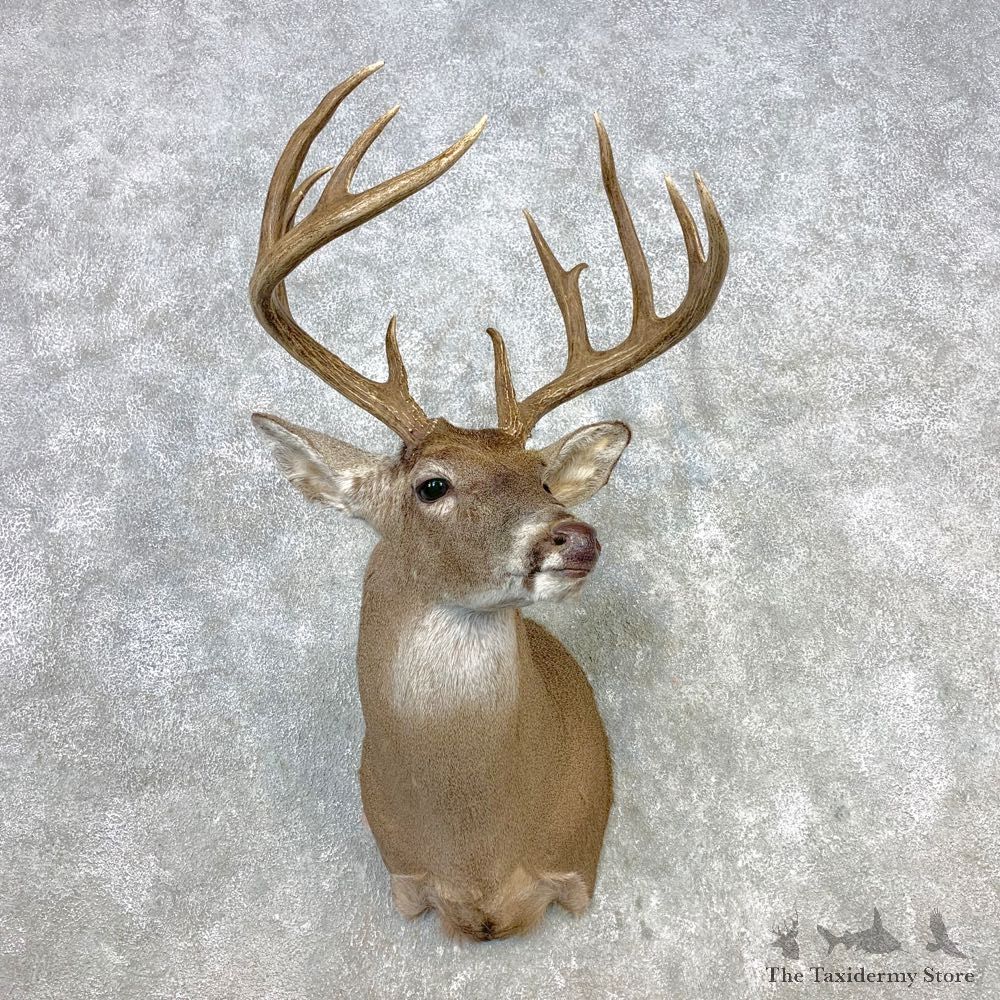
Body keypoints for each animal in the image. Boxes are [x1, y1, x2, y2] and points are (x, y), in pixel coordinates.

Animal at [249, 61, 729, 942]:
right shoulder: (405, 879)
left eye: (541, 476)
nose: (573, 536)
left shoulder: (576, 866)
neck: (476, 853)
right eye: (431, 484)